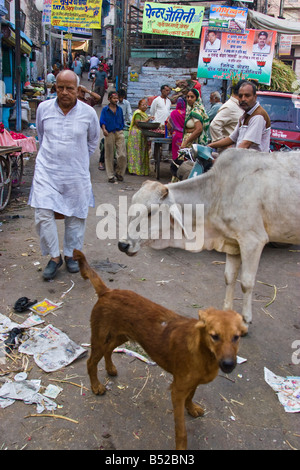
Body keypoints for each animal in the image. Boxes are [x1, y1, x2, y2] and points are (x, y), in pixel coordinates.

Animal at [72, 248, 246, 450]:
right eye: (214, 336)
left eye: (236, 337)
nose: (228, 365)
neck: (203, 353)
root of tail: (107, 292)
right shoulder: (177, 391)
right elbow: (181, 430)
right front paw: (181, 447)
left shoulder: (191, 383)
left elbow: (191, 396)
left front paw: (192, 408)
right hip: (100, 338)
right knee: (91, 362)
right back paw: (96, 386)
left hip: (121, 335)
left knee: (109, 350)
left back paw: (110, 369)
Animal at [118, 151, 300, 326]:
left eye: (150, 212)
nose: (123, 245)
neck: (219, 193)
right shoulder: (233, 243)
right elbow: (229, 277)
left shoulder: (253, 241)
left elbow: (246, 283)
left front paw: (246, 319)